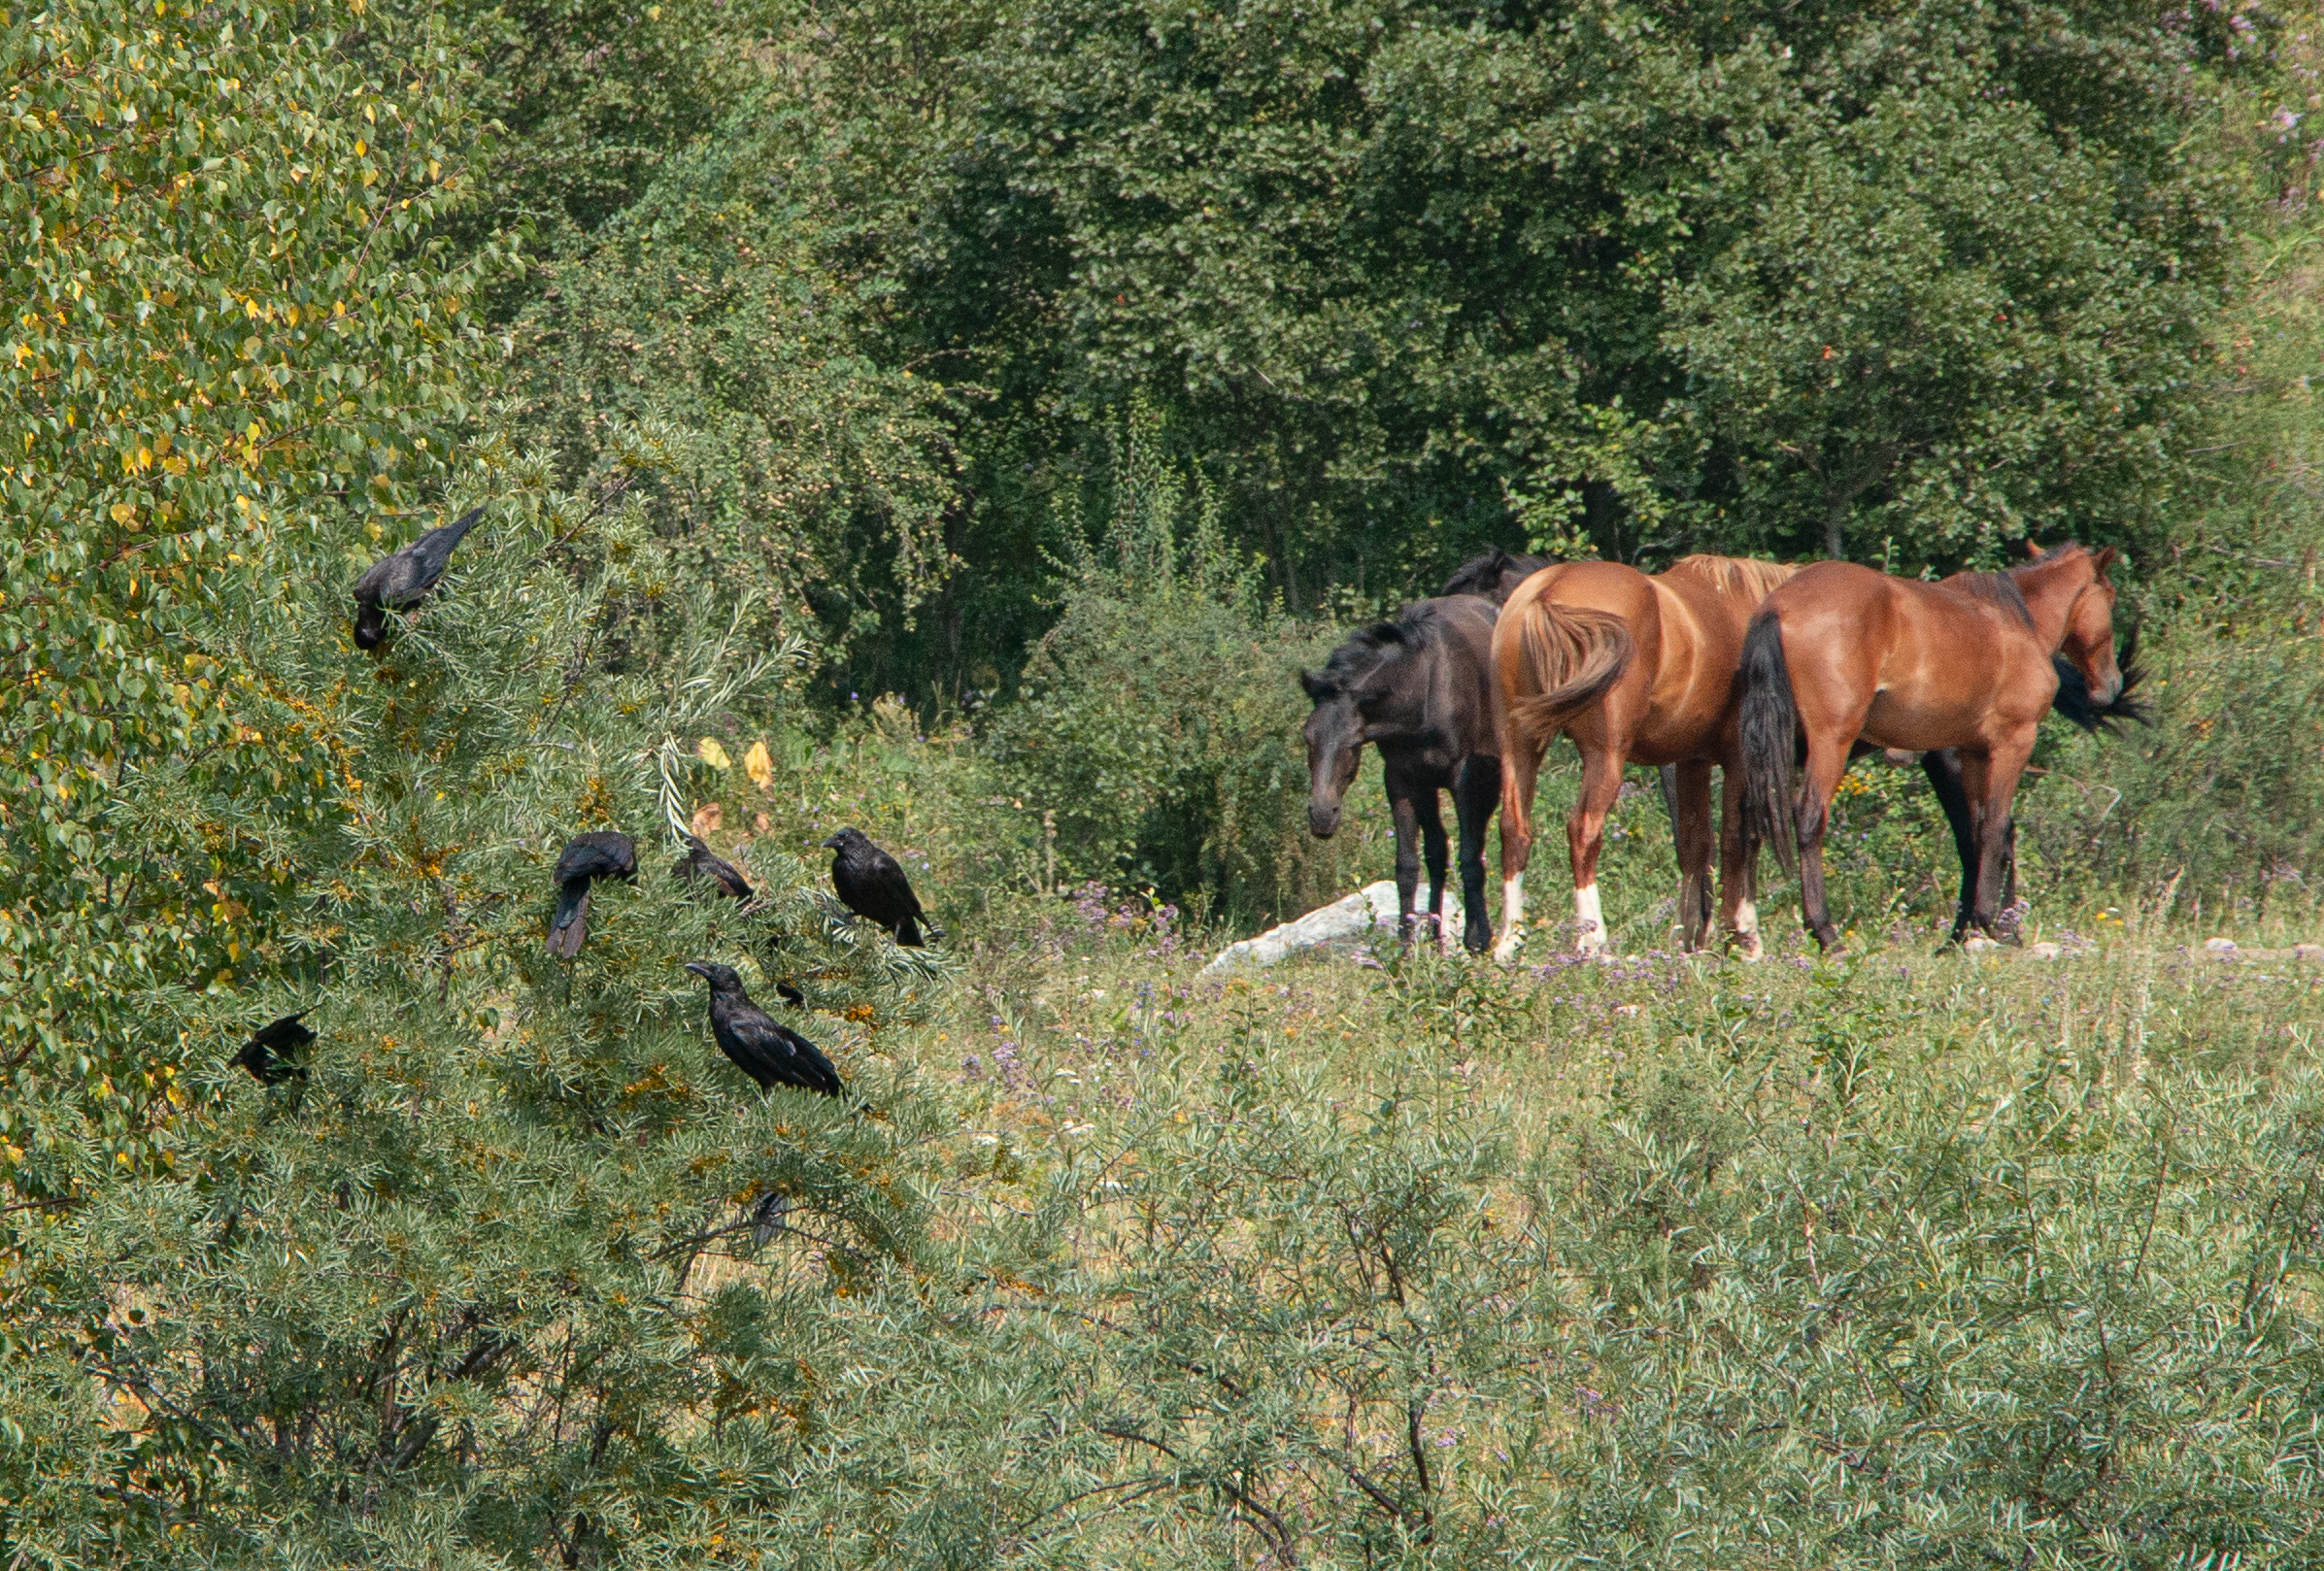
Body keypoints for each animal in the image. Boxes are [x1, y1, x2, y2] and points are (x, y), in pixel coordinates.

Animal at [1301, 599, 1497, 943]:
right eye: (1306, 737)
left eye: (1353, 742)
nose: (1322, 815)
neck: (1422, 700)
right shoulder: (1400, 777)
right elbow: (1407, 865)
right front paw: (1405, 946)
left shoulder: (1463, 777)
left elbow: (1471, 859)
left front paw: (1478, 941)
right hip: (1428, 786)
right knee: (1437, 852)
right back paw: (1434, 936)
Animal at [1747, 539, 2128, 953]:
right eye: (2110, 595)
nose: (2111, 685)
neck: (2014, 622)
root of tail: (1779, 605)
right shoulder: (2013, 743)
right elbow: (1996, 827)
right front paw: (1993, 923)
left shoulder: (1973, 751)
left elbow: (1976, 833)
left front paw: (1969, 929)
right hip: (1832, 741)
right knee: (1809, 819)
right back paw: (1826, 933)